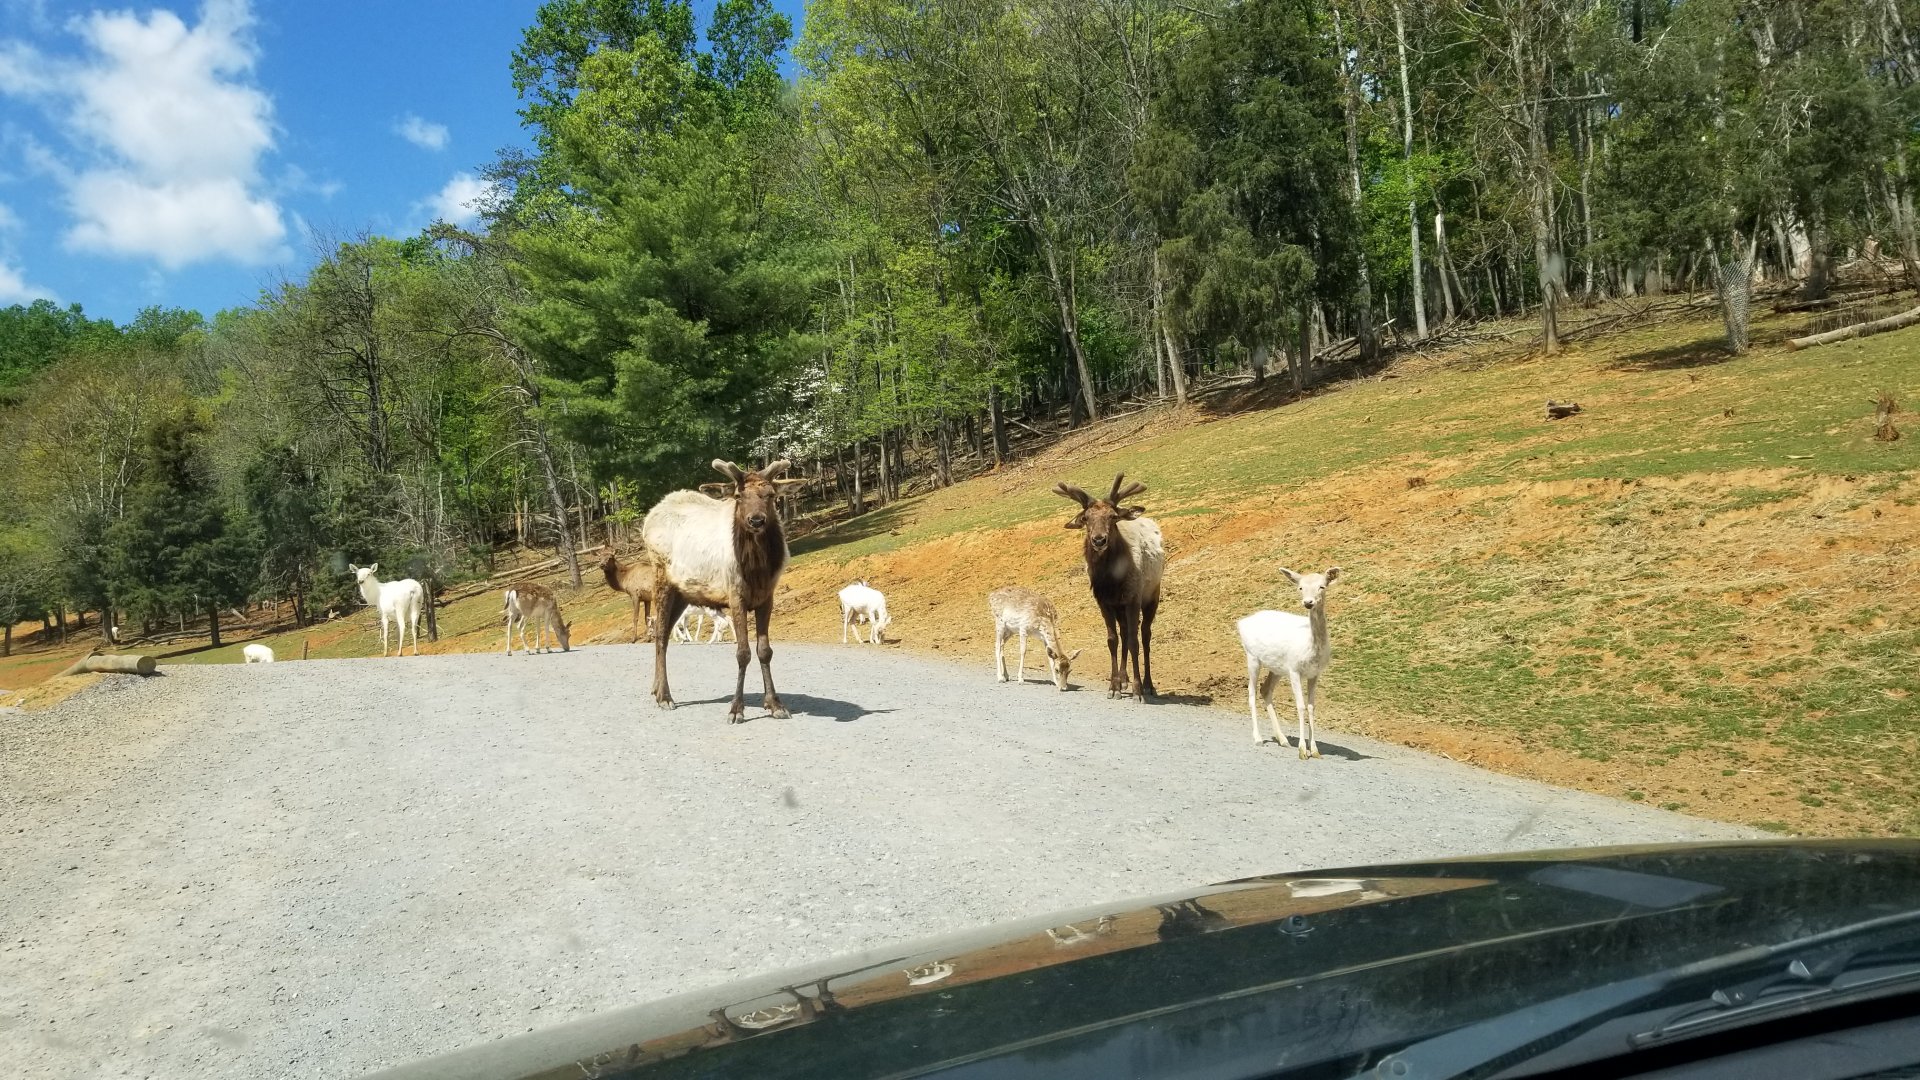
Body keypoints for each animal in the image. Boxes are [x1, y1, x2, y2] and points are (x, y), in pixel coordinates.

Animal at [641, 459, 802, 723]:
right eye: (738, 495)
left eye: (770, 495)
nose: (756, 520)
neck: (758, 570)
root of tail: (648, 518)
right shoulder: (736, 596)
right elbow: (743, 653)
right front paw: (737, 709)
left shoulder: (767, 597)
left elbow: (765, 651)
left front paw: (775, 704)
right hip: (661, 577)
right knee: (661, 634)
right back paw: (665, 696)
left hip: (683, 593)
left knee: (661, 631)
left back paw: (655, 689)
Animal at [1054, 474, 1165, 700]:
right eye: (1086, 518)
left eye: (1113, 516)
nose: (1099, 539)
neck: (1111, 580)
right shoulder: (1104, 602)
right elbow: (1112, 640)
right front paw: (1114, 686)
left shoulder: (1132, 598)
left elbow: (1134, 642)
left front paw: (1138, 690)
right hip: (1119, 608)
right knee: (1124, 633)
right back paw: (1123, 679)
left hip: (1152, 595)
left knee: (1145, 635)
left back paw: (1149, 685)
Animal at [1237, 567, 1341, 758]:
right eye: (1300, 588)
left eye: (1322, 586)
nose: (1308, 602)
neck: (1311, 648)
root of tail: (1242, 622)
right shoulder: (1294, 670)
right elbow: (1300, 706)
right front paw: (1302, 750)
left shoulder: (1315, 673)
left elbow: (1311, 707)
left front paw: (1315, 750)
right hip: (1252, 657)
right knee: (1251, 691)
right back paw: (1258, 738)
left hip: (1277, 668)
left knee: (1265, 690)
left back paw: (1283, 739)